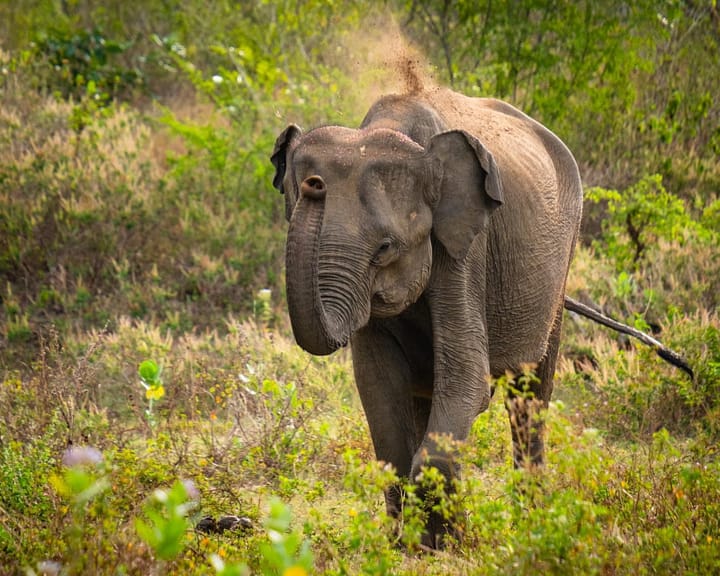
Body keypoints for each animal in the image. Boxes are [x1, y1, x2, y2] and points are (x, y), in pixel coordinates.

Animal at [270, 86, 584, 548]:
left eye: (384, 248)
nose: (313, 185)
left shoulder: (465, 251)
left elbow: (467, 379)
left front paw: (446, 542)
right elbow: (377, 385)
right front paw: (410, 545)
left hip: (560, 272)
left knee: (529, 396)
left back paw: (533, 524)